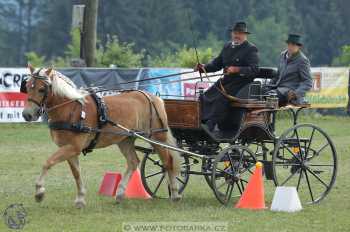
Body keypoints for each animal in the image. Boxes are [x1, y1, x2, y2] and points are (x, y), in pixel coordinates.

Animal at [21, 64, 182, 208]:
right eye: (27, 86)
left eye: (42, 89)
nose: (27, 114)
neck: (71, 109)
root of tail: (153, 97)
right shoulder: (70, 149)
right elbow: (76, 174)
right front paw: (80, 199)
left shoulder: (73, 147)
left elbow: (48, 162)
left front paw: (39, 192)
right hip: (125, 139)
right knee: (133, 162)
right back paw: (120, 194)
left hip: (156, 138)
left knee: (167, 163)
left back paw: (175, 194)